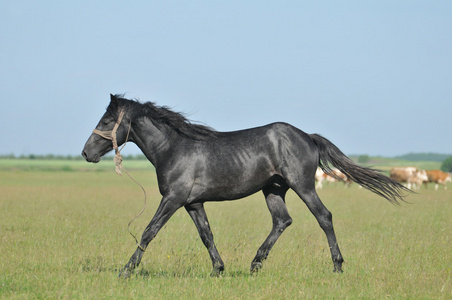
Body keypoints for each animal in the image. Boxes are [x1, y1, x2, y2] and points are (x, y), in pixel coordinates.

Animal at [82, 94, 410, 278]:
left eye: (107, 120)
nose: (86, 153)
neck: (174, 148)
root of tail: (308, 136)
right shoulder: (193, 203)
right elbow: (207, 235)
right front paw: (218, 269)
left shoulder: (173, 199)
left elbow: (149, 231)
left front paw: (126, 270)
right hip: (273, 189)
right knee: (282, 221)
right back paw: (255, 264)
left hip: (303, 186)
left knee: (324, 217)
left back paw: (337, 266)